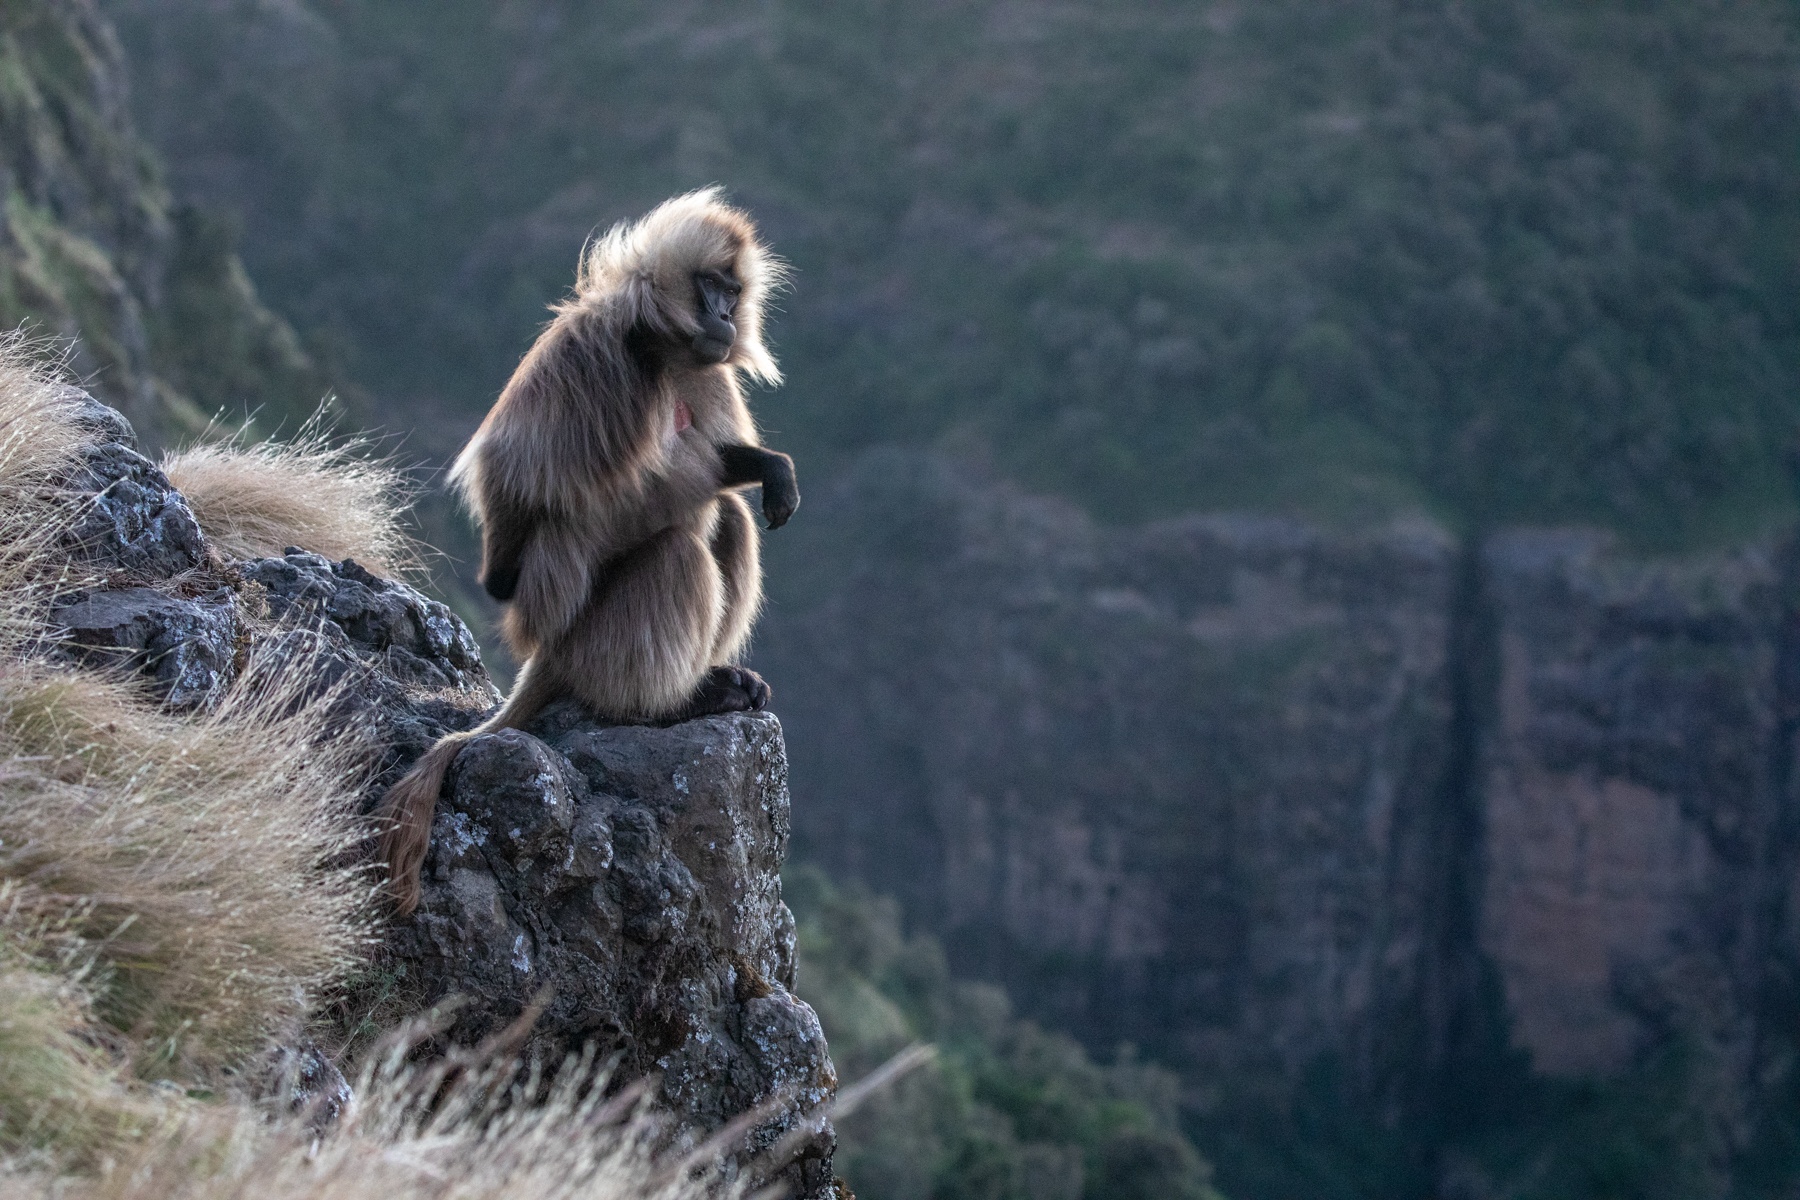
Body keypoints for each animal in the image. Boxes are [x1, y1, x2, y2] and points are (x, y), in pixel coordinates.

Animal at [377, 188, 798, 915]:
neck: (662, 350)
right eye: (711, 286)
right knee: (679, 551)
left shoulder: (701, 374)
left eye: (733, 291)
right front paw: (500, 577)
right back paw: (663, 705)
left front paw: (770, 468)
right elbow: (513, 475)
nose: (723, 315)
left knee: (729, 521)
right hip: (592, 639)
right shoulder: (599, 356)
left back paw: (715, 679)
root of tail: (550, 656)